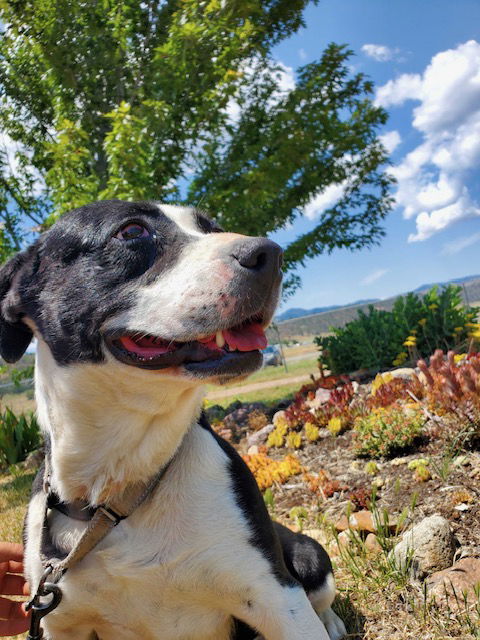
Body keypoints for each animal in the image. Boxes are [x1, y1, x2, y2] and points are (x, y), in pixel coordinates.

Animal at [0, 201, 344, 640]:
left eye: (213, 228)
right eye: (131, 231)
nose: (269, 254)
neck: (121, 486)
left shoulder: (278, 596)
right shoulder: (60, 621)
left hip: (307, 554)